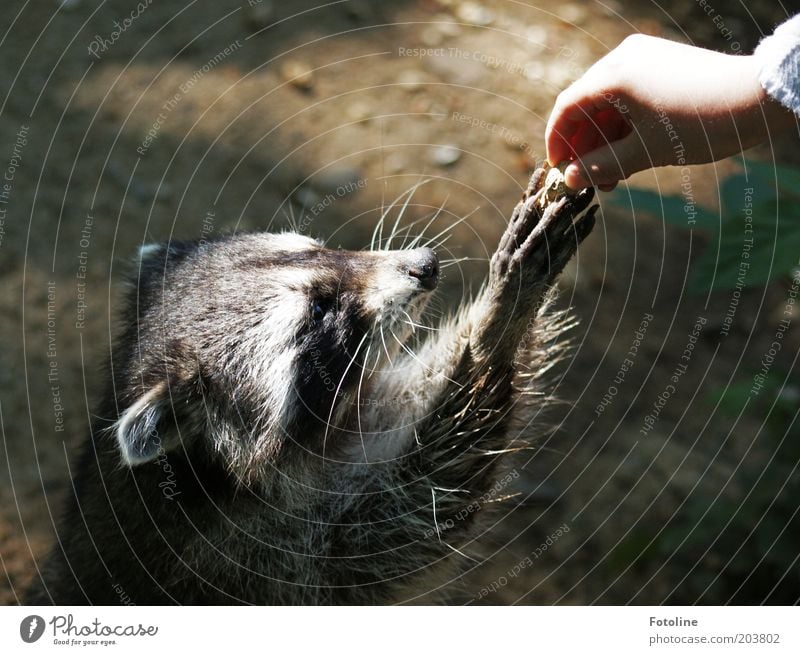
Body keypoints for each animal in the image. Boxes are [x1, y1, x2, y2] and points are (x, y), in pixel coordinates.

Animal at [26, 168, 592, 604]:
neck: (204, 474)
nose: (425, 266)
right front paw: (499, 318)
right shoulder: (262, 558)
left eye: (320, 248)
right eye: (318, 311)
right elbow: (415, 512)